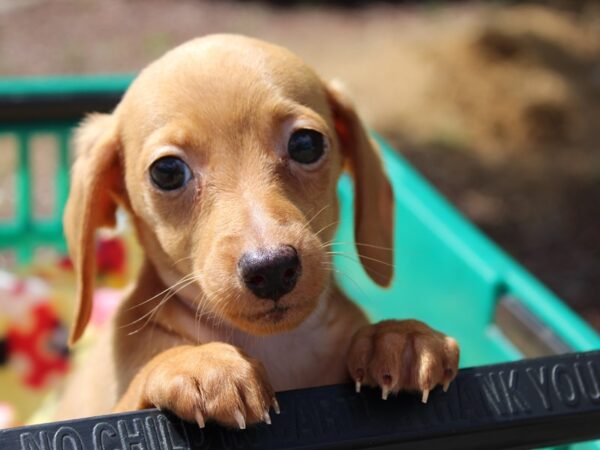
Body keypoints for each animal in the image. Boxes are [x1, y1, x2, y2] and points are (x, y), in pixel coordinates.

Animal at [57, 35, 460, 428]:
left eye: (306, 144)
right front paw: (196, 362)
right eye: (167, 171)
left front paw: (398, 334)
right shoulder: (113, 408)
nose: (272, 268)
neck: (278, 345)